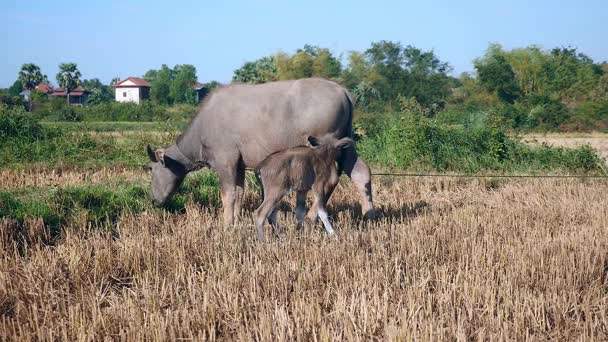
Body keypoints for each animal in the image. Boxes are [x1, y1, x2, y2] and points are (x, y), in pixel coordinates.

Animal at [147, 79, 376, 226]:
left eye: (151, 170)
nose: (153, 200)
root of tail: (342, 91)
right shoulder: (239, 165)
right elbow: (239, 193)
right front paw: (236, 220)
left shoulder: (225, 162)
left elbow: (228, 195)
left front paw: (226, 224)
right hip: (346, 143)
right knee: (360, 172)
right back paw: (370, 214)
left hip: (323, 146)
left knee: (331, 179)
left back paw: (311, 218)